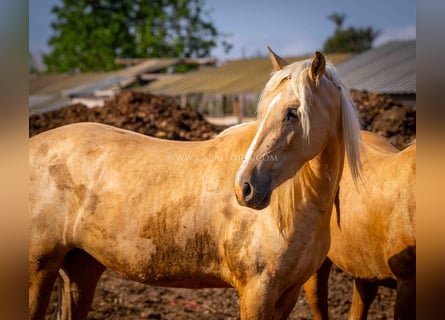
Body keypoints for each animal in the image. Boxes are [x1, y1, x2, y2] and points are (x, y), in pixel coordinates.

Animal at [28, 48, 360, 318]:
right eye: (264, 111)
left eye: (293, 112)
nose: (244, 187)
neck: (295, 207)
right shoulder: (257, 293)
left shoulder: (287, 294)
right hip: (40, 268)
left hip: (80, 269)